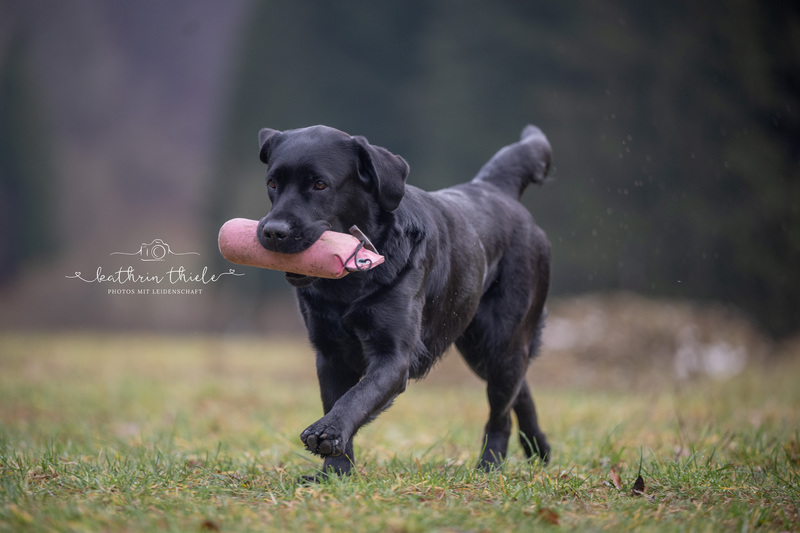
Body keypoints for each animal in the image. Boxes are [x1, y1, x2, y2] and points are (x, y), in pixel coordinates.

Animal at [255, 124, 552, 478]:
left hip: (501, 342)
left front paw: (327, 432)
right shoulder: (329, 355)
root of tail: (494, 187)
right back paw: (539, 448)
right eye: (273, 183)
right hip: (480, 349)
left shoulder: (394, 356)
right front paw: (335, 473)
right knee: (520, 390)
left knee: (502, 412)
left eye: (320, 184)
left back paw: (489, 466)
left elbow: (357, 396)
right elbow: (337, 397)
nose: (273, 232)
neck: (349, 284)